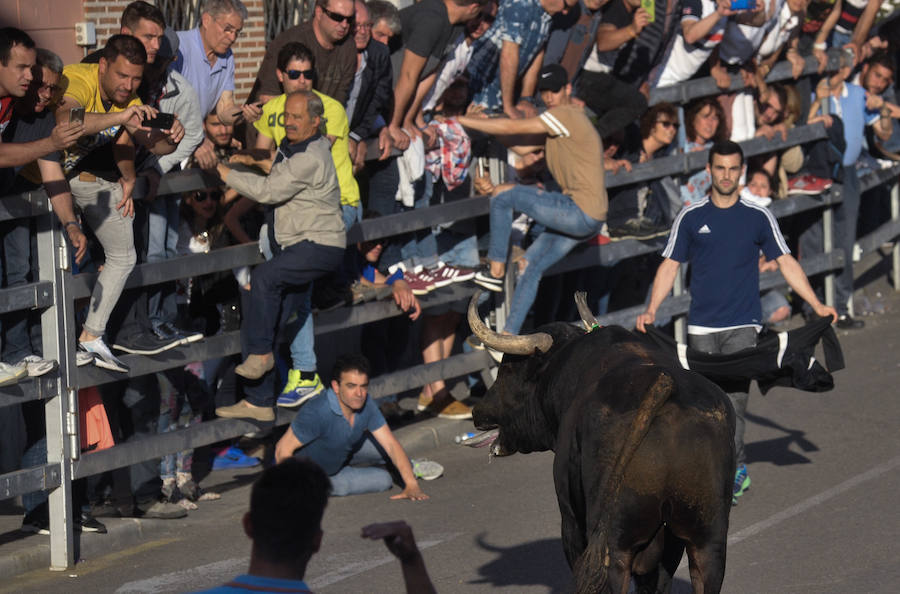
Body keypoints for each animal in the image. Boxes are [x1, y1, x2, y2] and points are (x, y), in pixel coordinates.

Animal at [468, 300, 736, 592]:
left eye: (507, 370)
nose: (477, 411)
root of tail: (665, 384)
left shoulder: (570, 520)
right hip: (708, 542)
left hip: (613, 548)